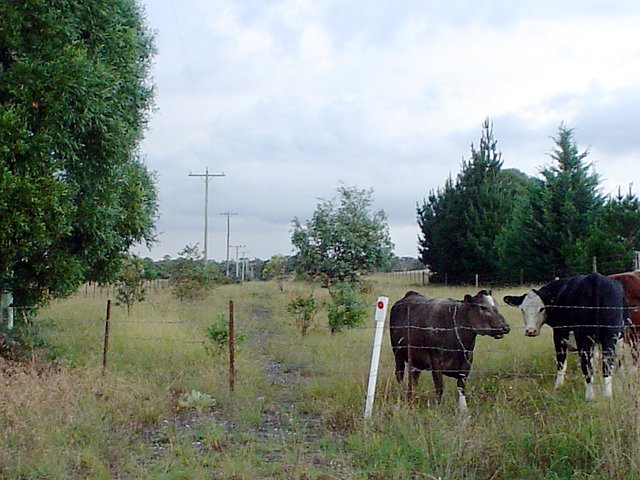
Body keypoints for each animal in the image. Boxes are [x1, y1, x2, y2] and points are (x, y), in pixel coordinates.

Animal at [502, 272, 624, 400]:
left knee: (586, 365)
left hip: (584, 336)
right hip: (610, 334)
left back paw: (589, 397)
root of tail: (595, 278)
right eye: (522, 309)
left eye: (541, 308)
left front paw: (558, 386)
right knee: (607, 363)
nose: (530, 330)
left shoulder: (558, 336)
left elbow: (561, 363)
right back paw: (607, 395)